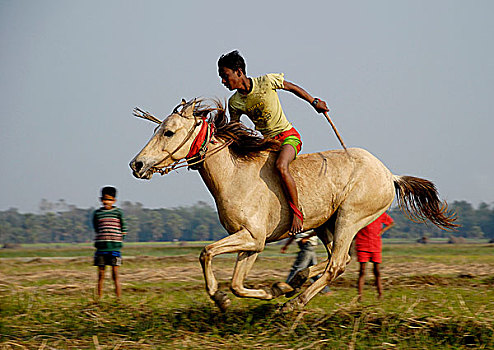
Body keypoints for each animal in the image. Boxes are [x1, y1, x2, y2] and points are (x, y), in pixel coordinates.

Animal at [129, 98, 458, 312]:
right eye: (156, 129)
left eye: (168, 131)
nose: (137, 164)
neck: (235, 175)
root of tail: (389, 175)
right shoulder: (252, 242)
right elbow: (236, 282)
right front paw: (268, 291)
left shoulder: (251, 237)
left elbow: (206, 252)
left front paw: (219, 298)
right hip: (327, 225)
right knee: (339, 261)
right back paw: (293, 283)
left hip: (350, 219)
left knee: (336, 264)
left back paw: (293, 305)